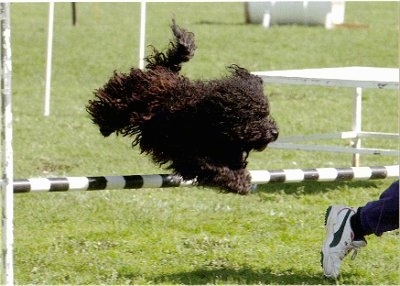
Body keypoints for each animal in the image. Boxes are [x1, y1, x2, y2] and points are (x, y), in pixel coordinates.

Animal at [86, 19, 278, 194]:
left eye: (266, 113)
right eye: (256, 116)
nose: (275, 133)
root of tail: (164, 69)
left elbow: (233, 166)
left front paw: (242, 179)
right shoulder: (188, 153)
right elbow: (213, 167)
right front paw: (237, 182)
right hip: (131, 98)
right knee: (113, 101)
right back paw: (104, 123)